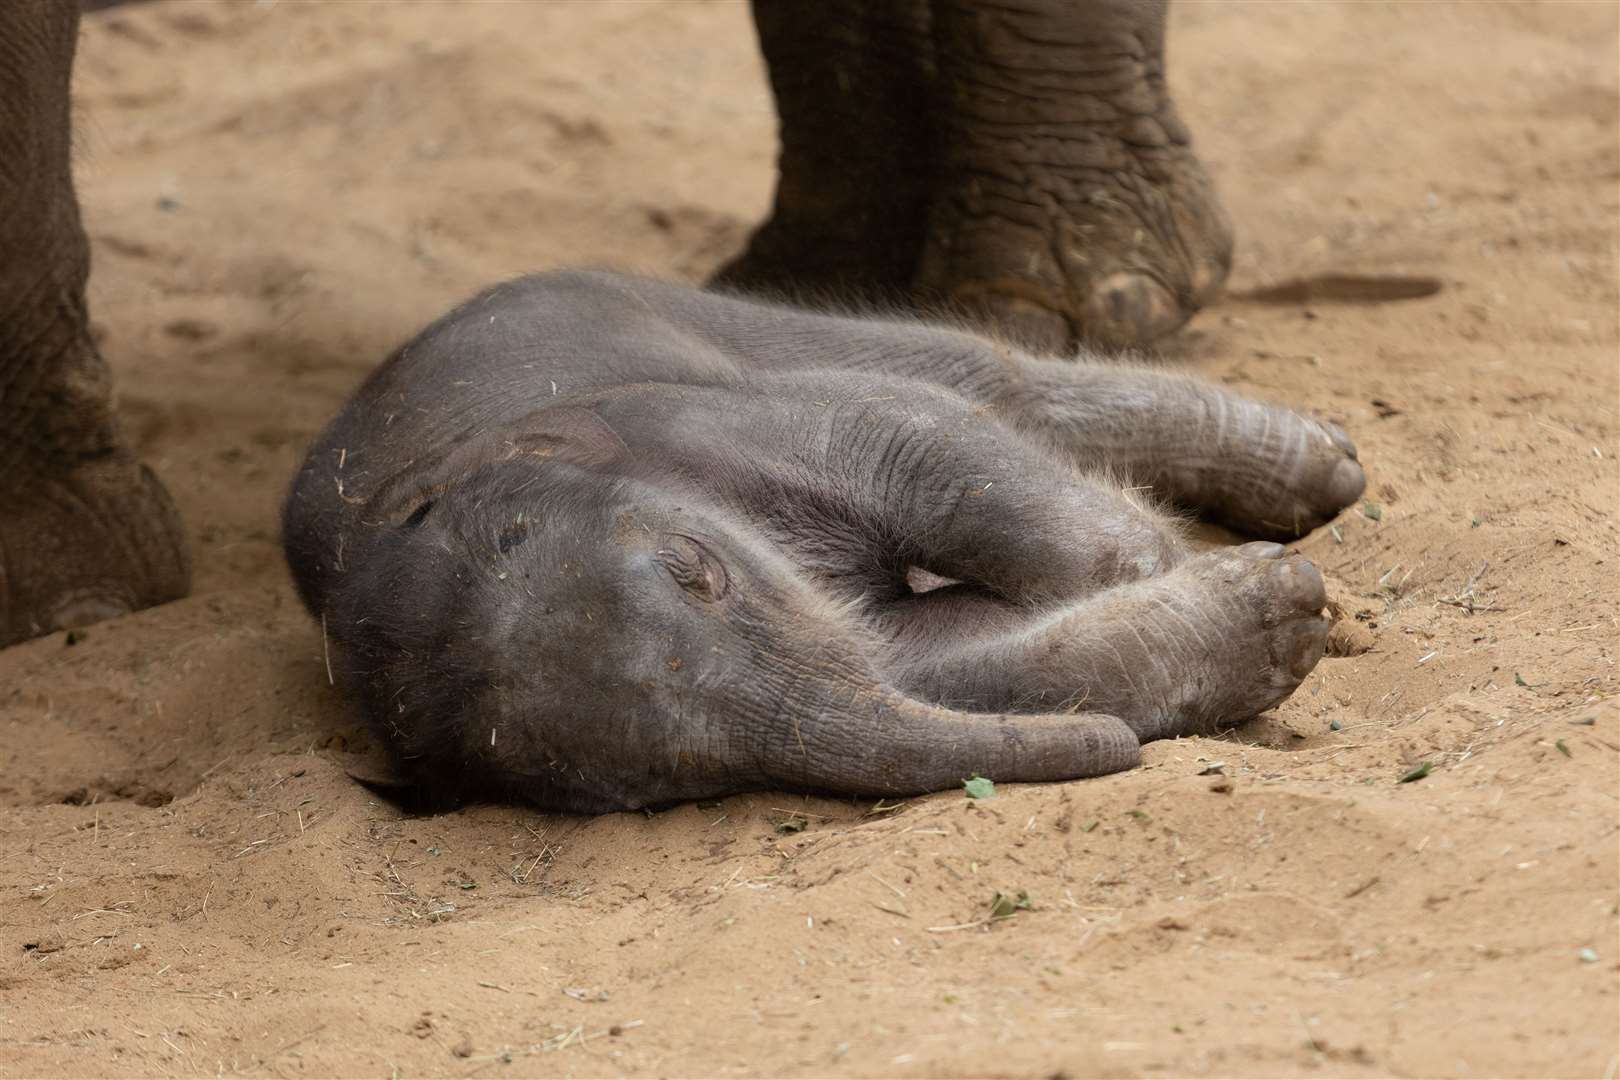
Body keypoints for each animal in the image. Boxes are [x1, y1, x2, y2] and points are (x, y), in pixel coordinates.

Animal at [281, 270, 1367, 809]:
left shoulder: (690, 415)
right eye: (669, 785)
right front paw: (1282, 611)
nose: (1114, 753)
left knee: (988, 377)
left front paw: (1265, 587)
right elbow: (938, 661)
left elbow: (918, 432)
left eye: (696, 570)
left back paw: (1334, 474)